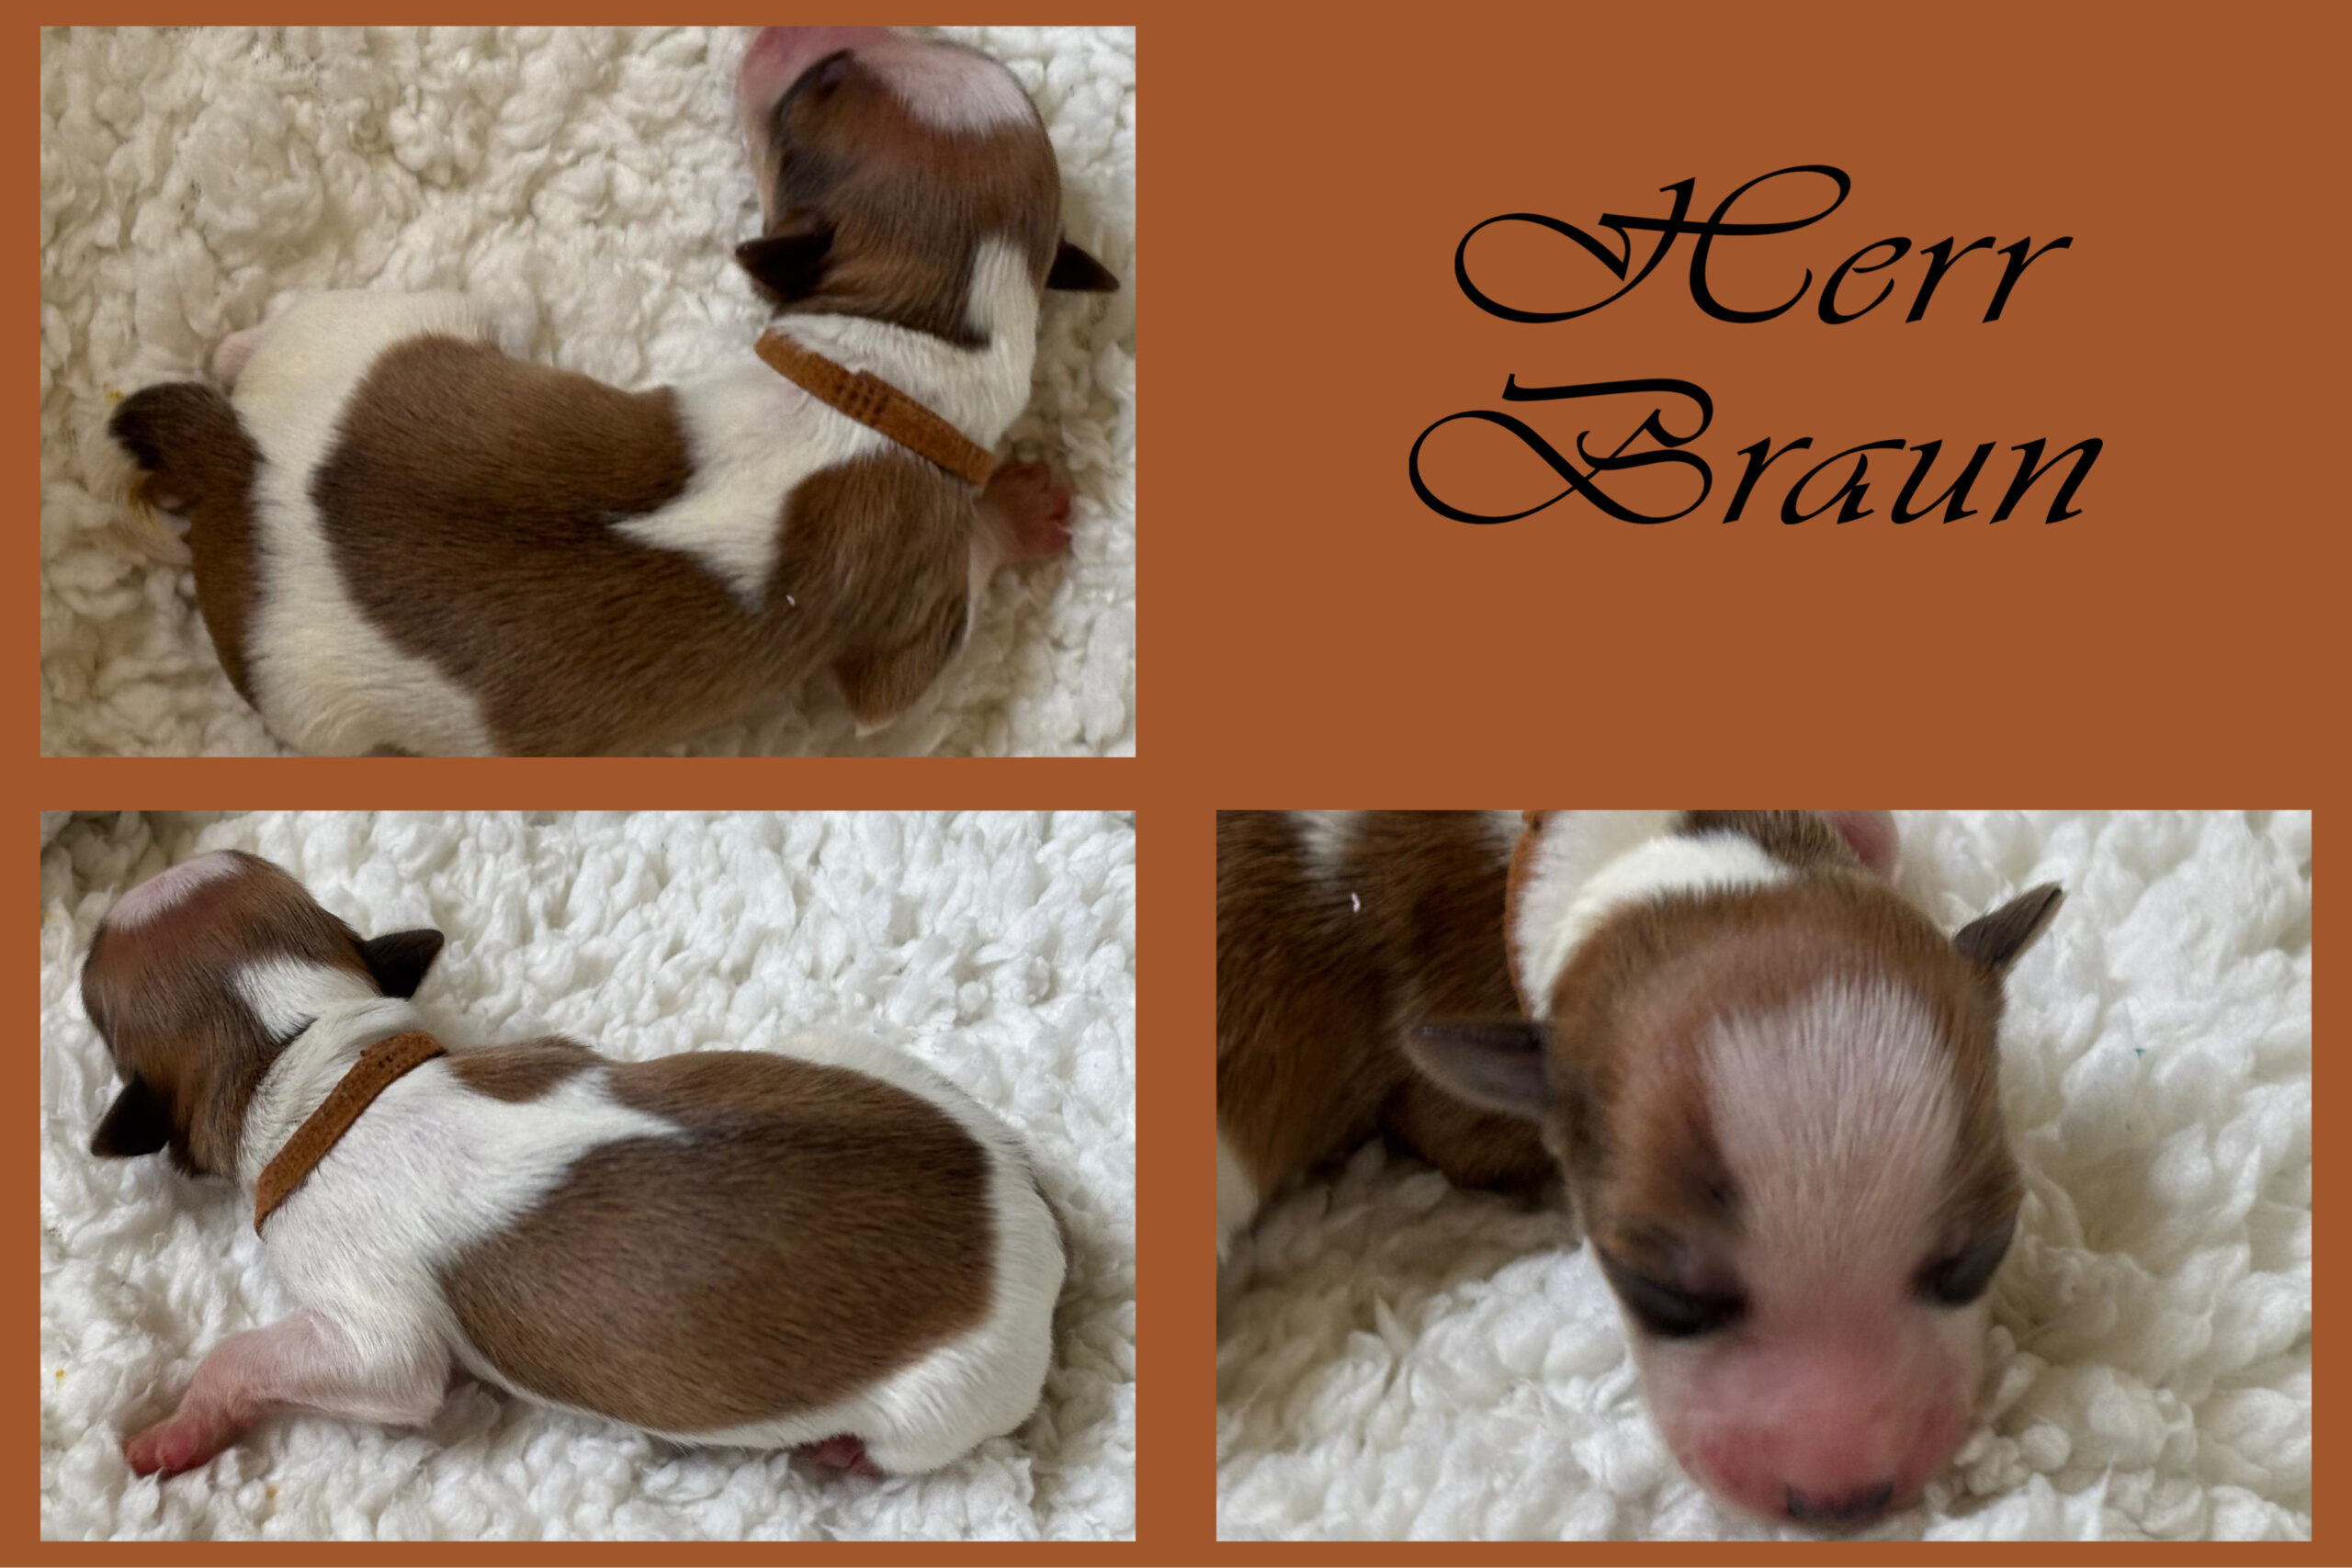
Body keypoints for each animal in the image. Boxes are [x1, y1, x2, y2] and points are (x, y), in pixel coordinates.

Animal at [82, 849, 1063, 1478]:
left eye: (88, 989)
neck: (300, 1051)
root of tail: (1034, 1230)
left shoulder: (369, 1328)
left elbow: (274, 1357)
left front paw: (177, 1430)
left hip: (945, 1402)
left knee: (907, 1446)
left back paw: (840, 1451)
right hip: (845, 1052)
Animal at [103, 26, 1118, 755]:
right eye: (826, 85)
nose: (779, 33)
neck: (900, 357)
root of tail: (236, 462)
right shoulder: (914, 625)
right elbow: (913, 663)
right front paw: (1023, 508)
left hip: (386, 328)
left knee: (291, 337)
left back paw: (235, 347)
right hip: (316, 708)